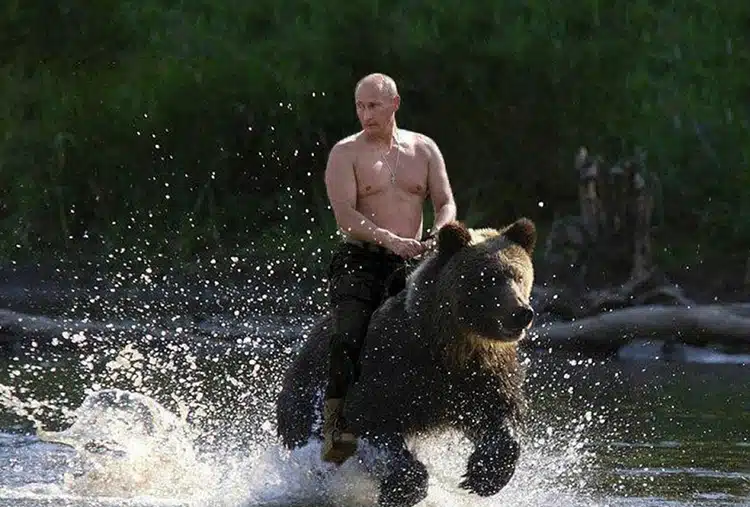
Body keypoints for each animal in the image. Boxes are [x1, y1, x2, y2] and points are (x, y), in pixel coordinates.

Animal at [275, 217, 537, 507]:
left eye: (519, 276)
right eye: (488, 279)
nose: (521, 312)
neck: (450, 346)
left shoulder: (481, 374)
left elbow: (497, 414)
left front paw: (483, 475)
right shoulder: (392, 366)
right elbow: (372, 419)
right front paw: (402, 488)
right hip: (308, 392)